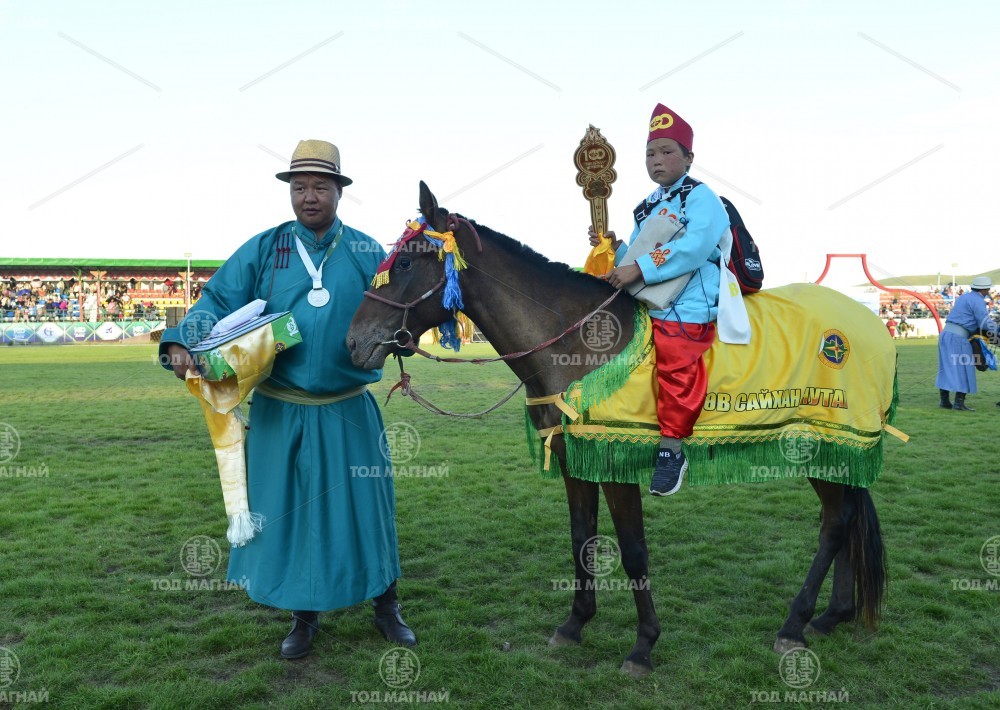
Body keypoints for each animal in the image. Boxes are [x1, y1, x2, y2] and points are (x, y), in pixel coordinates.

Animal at [346, 182, 888, 679]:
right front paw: (575, 624)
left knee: (835, 522)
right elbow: (580, 537)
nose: (353, 342)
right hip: (835, 448)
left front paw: (643, 645)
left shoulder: (614, 462)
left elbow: (632, 551)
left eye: (406, 264)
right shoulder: (574, 460)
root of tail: (864, 324)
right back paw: (831, 615)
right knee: (843, 518)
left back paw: (795, 623)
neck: (575, 346)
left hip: (819, 441)